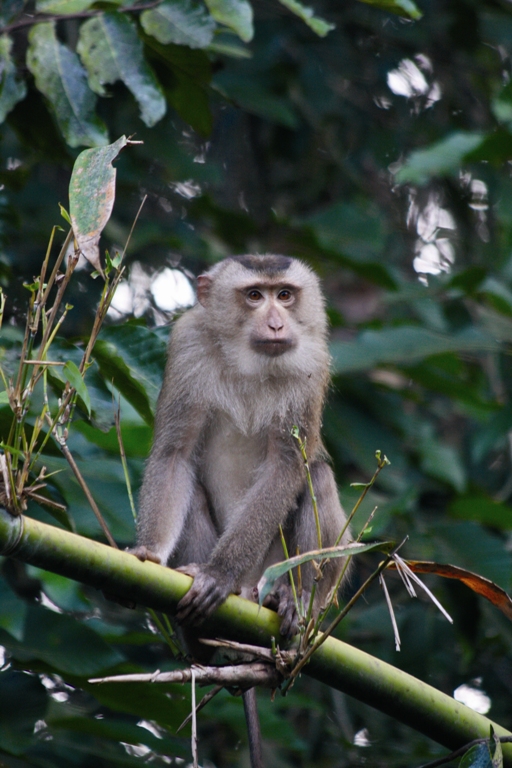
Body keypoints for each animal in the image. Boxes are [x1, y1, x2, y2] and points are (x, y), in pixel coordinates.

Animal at [131, 255, 352, 764]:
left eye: (285, 295)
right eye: (254, 296)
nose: (276, 323)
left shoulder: (312, 359)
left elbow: (289, 466)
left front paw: (219, 574)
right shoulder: (188, 344)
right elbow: (175, 454)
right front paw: (151, 553)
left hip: (278, 568)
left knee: (316, 474)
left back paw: (289, 600)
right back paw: (199, 638)